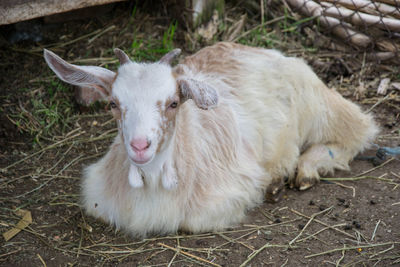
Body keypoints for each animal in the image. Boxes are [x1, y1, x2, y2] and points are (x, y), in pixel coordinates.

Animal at [43, 41, 378, 237]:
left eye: (174, 102)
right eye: (113, 103)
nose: (140, 146)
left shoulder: (231, 190)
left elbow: (191, 222)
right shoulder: (98, 197)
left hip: (319, 105)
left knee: (359, 130)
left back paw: (307, 168)